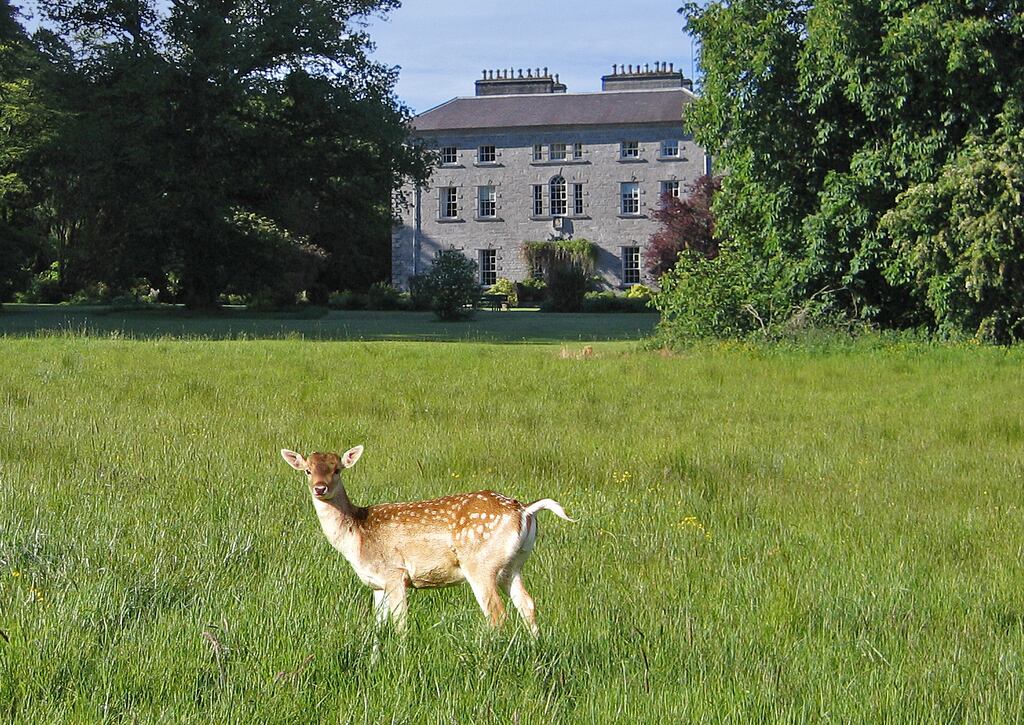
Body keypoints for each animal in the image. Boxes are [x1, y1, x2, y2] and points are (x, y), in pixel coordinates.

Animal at [280, 445, 574, 635]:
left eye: (338, 469)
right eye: (307, 470)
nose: (320, 488)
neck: (357, 535)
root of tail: (525, 510)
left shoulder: (395, 573)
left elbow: (400, 623)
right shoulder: (376, 584)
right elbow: (378, 628)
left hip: (480, 564)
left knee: (496, 613)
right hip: (513, 565)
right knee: (527, 604)